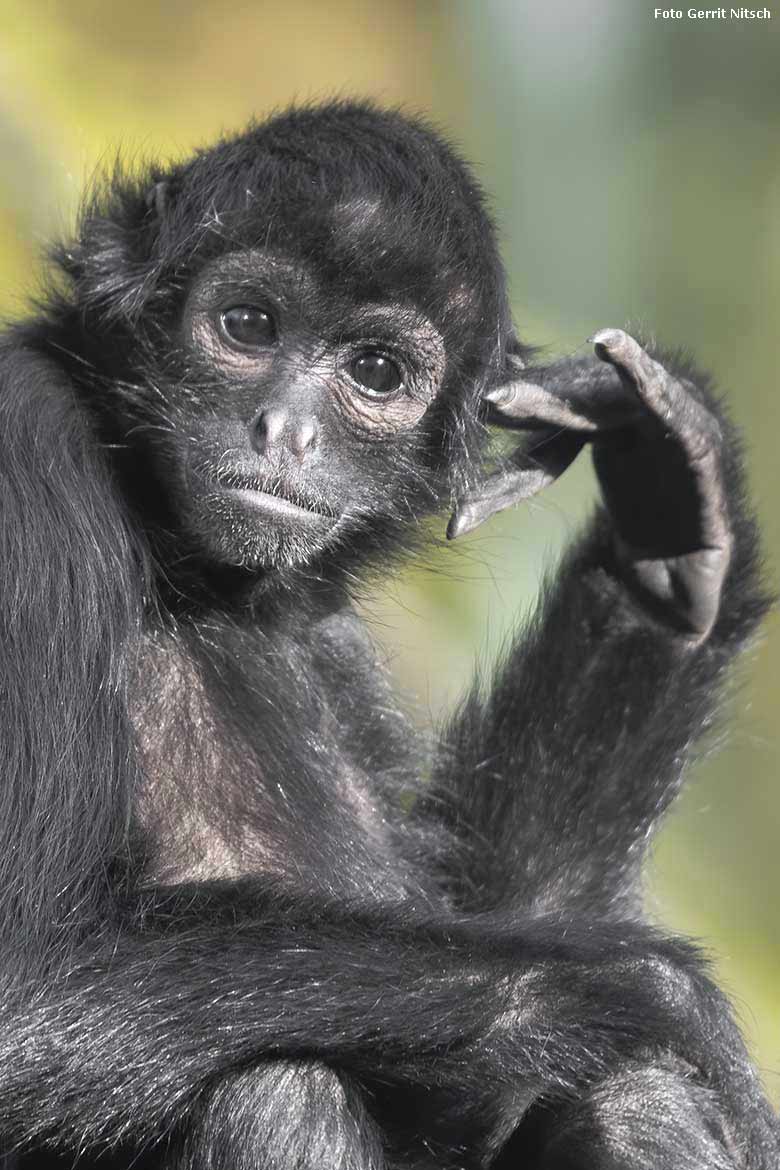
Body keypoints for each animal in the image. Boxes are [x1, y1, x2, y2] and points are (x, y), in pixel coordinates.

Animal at [0, 100, 776, 1170]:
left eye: (374, 372)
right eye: (247, 325)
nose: (284, 431)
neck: (191, 568)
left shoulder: (327, 637)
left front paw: (668, 534)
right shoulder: (25, 452)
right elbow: (25, 989)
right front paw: (644, 988)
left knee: (633, 1098)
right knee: (278, 1092)